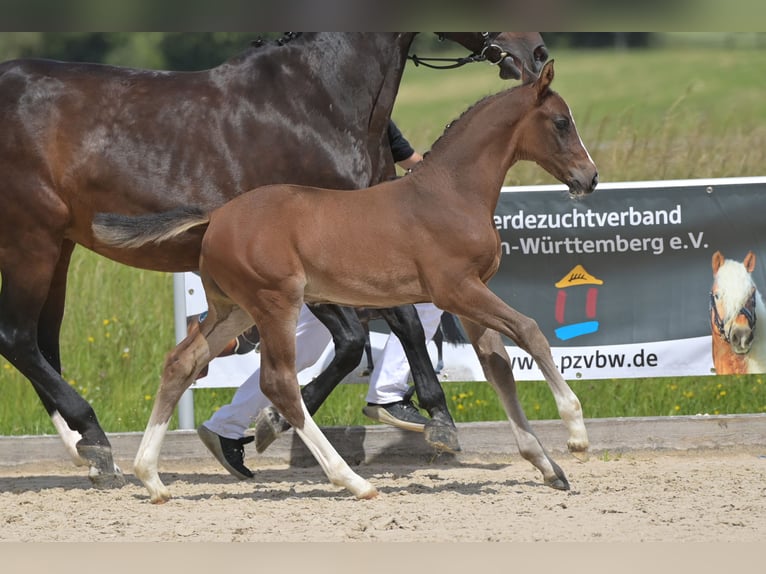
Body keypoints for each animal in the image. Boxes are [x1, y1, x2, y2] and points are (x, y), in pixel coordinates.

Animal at [0, 32, 560, 490]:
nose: (536, 52)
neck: (318, 99)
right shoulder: (320, 266)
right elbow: (358, 341)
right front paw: (272, 426)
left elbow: (395, 326)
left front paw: (420, 412)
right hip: (31, 239)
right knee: (19, 338)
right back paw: (94, 438)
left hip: (60, 247)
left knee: (43, 343)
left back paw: (89, 453)